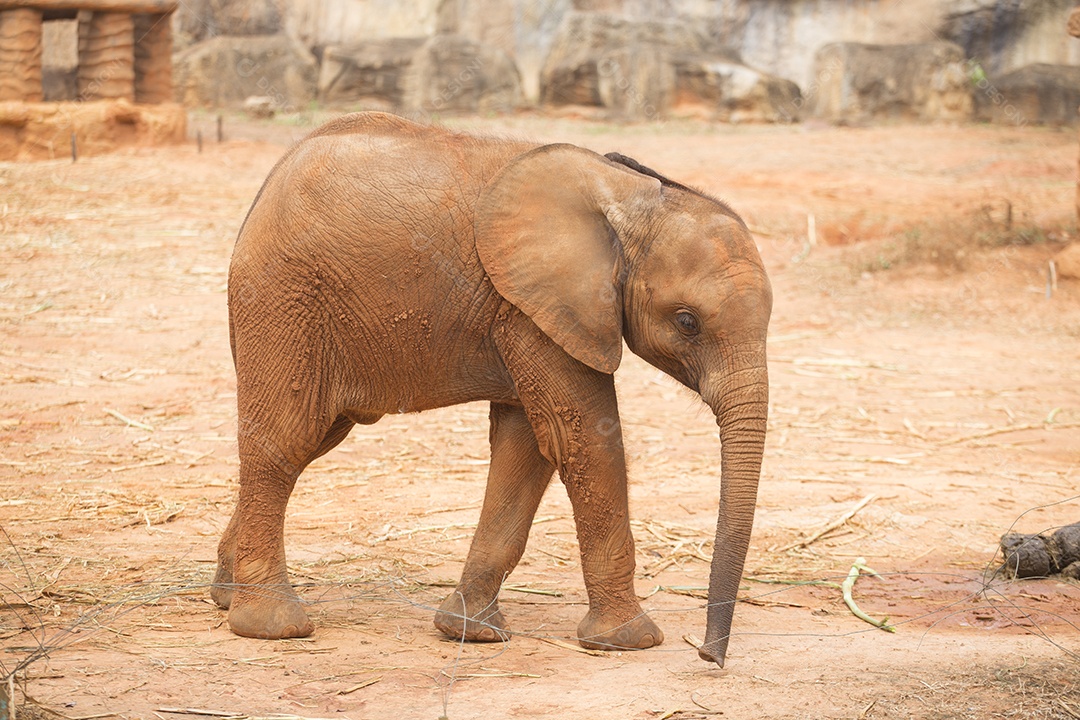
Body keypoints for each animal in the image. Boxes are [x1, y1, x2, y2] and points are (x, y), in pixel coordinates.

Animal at [211, 111, 771, 667]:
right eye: (687, 322)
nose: (708, 657)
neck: (631, 194)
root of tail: (267, 188)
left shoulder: (529, 310)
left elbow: (527, 447)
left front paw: (470, 631)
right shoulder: (532, 306)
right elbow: (584, 440)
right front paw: (629, 640)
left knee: (314, 439)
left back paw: (224, 596)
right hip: (286, 296)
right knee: (284, 442)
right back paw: (271, 626)